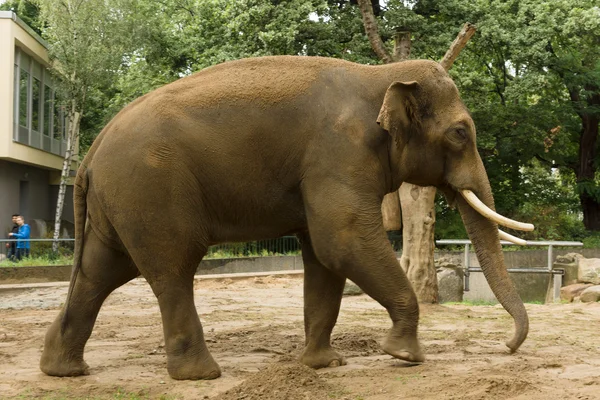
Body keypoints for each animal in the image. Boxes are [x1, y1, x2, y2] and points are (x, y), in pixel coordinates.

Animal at [39, 54, 532, 380]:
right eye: (460, 132)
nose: (506, 347)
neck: (382, 73)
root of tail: (90, 152)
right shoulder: (337, 153)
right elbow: (343, 241)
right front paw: (405, 356)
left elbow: (325, 257)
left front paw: (324, 365)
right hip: (151, 189)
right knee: (172, 267)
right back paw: (201, 375)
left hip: (121, 201)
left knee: (101, 271)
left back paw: (63, 370)